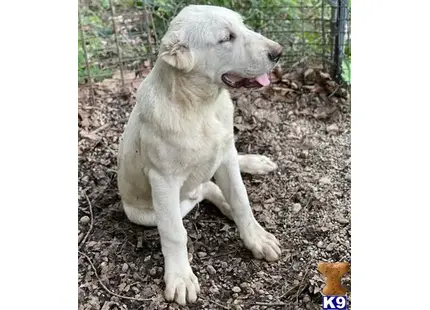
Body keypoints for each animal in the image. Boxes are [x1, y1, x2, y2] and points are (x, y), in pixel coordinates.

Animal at [117, 4, 284, 306]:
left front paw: (256, 238)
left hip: (222, 155)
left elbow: (241, 199)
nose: (278, 52)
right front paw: (181, 278)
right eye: (226, 38)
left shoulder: (226, 156)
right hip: (147, 212)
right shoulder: (163, 181)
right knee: (203, 190)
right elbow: (174, 233)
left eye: (243, 25)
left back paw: (254, 164)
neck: (200, 107)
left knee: (214, 181)